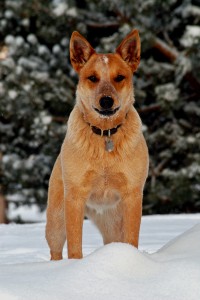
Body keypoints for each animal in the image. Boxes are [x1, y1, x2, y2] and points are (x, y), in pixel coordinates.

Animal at [45, 31, 148, 260]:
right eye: (92, 78)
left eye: (119, 77)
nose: (106, 100)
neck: (105, 136)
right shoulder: (74, 197)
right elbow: (74, 244)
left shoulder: (132, 195)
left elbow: (132, 238)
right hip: (56, 220)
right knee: (55, 248)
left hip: (113, 223)